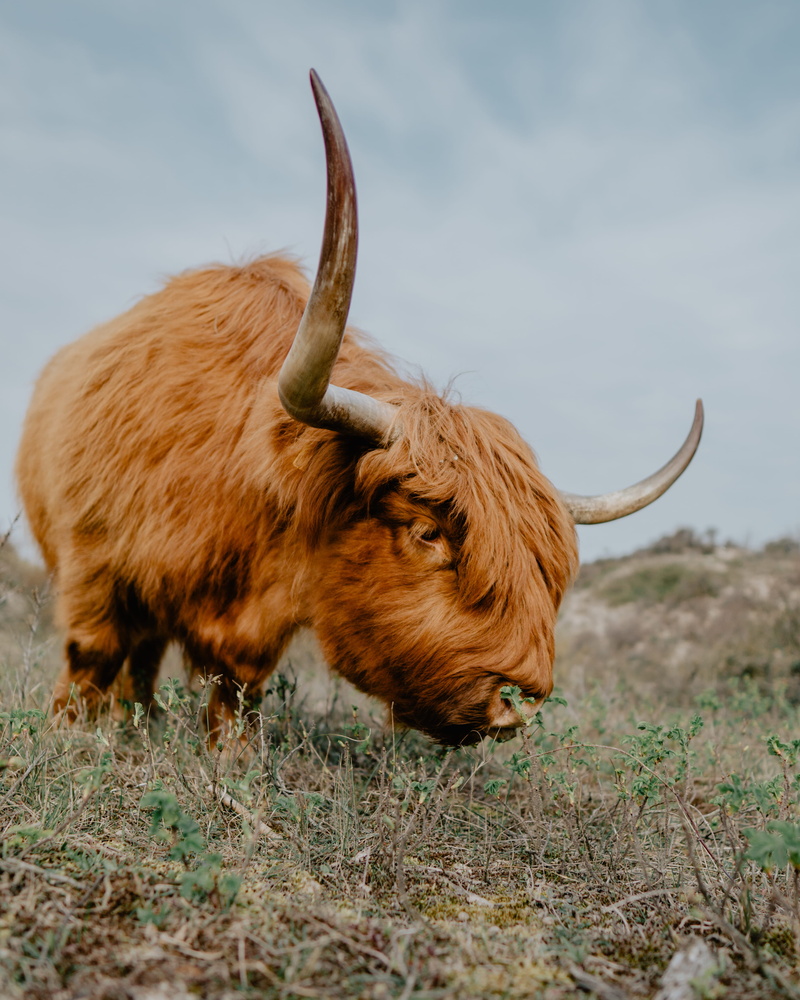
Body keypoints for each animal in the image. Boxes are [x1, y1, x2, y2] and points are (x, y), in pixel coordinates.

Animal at [15, 71, 703, 746]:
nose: (518, 703)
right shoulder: (94, 571)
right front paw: (69, 743)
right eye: (427, 532)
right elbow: (88, 662)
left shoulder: (251, 635)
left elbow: (232, 699)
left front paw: (223, 757)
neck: (239, 473)